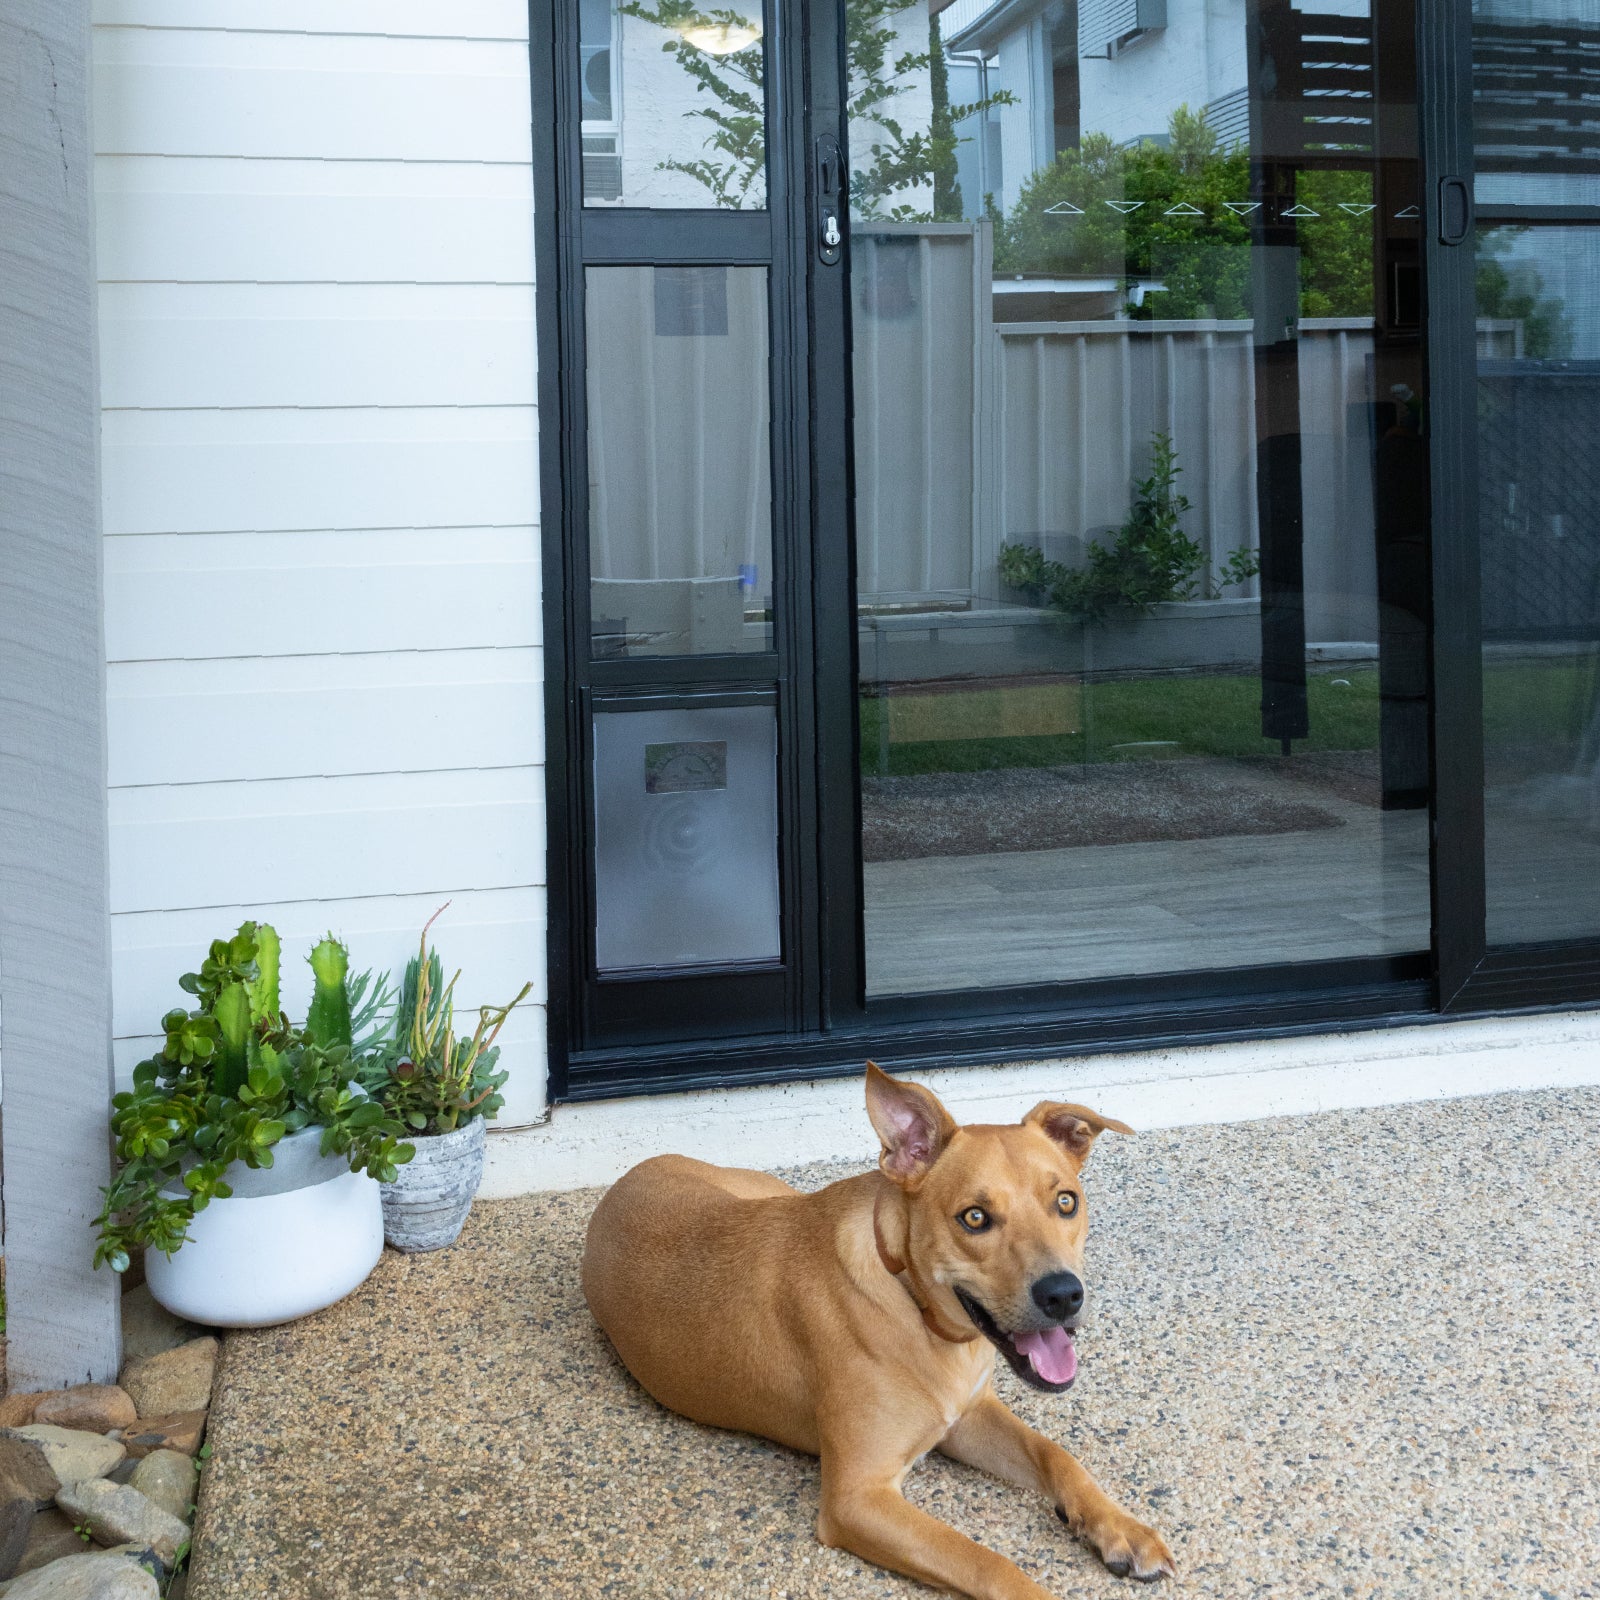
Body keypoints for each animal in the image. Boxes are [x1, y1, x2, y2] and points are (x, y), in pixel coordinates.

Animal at [582, 1062, 1171, 1600]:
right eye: (974, 1218)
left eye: (1066, 1201)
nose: (1063, 1295)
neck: (916, 1308)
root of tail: (630, 1175)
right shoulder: (858, 1499)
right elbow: (986, 1562)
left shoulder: (967, 1417)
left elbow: (1056, 1455)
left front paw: (1123, 1528)